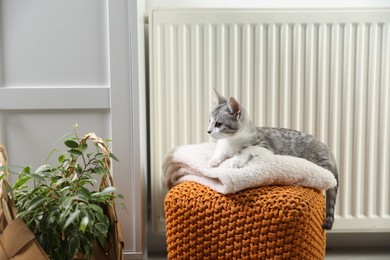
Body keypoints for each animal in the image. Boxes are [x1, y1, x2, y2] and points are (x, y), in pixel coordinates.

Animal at [207, 89, 338, 230]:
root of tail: (327, 148)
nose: (208, 131)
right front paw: (212, 161)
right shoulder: (223, 147)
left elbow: (248, 149)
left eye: (218, 124)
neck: (231, 141)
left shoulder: (265, 147)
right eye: (209, 121)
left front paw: (236, 159)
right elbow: (219, 153)